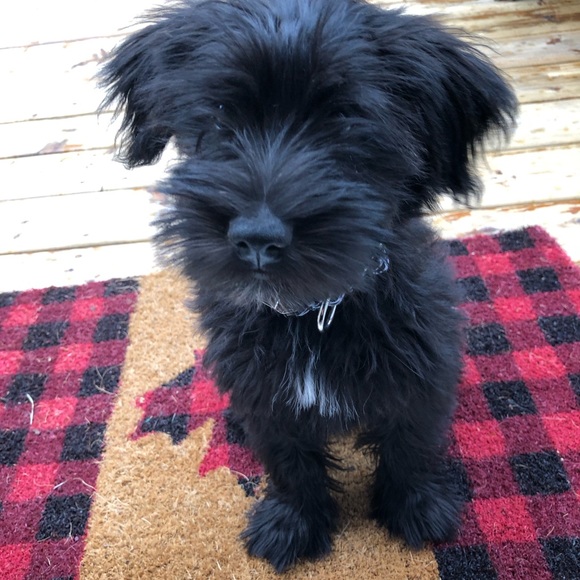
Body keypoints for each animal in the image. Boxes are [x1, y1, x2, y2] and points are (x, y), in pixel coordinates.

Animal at [101, 0, 516, 571]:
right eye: (221, 114)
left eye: (346, 122)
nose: (257, 237)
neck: (311, 312)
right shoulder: (263, 391)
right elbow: (289, 460)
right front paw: (292, 526)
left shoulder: (423, 368)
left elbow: (411, 444)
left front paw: (416, 510)